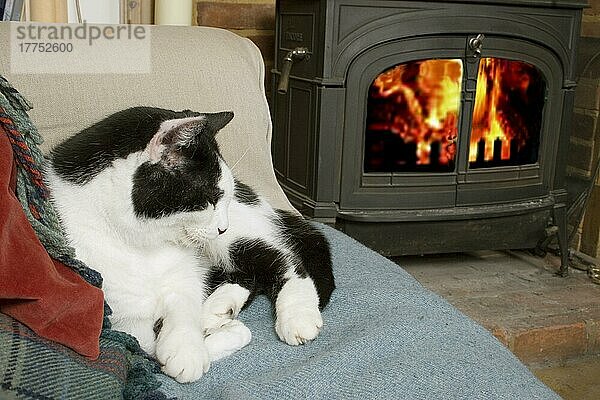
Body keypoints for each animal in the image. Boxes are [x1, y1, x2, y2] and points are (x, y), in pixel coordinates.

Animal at [47, 106, 336, 382]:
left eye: (224, 198)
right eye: (211, 198)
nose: (223, 226)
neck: (143, 245)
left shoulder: (183, 273)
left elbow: (183, 305)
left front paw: (188, 348)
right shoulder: (120, 314)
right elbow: (144, 348)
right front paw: (222, 335)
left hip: (232, 240)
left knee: (282, 260)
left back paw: (297, 314)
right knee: (248, 276)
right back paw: (216, 310)